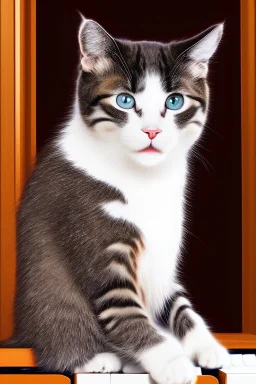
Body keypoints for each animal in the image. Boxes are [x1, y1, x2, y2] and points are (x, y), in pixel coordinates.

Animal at [0, 15, 230, 384]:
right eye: (124, 100)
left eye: (174, 102)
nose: (152, 131)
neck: (144, 179)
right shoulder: (93, 234)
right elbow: (125, 312)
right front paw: (175, 364)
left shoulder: (164, 253)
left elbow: (177, 301)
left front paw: (207, 347)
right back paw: (99, 359)